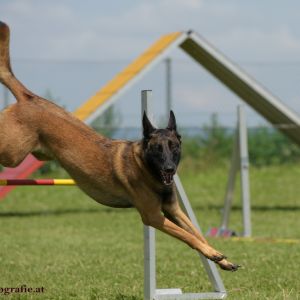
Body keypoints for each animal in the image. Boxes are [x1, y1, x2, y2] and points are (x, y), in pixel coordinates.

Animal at [0, 22, 239, 272]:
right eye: (157, 149)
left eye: (174, 147)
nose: (169, 169)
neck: (146, 169)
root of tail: (28, 98)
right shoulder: (154, 216)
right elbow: (189, 237)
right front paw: (213, 254)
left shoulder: (173, 210)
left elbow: (198, 234)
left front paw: (219, 258)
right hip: (12, 154)